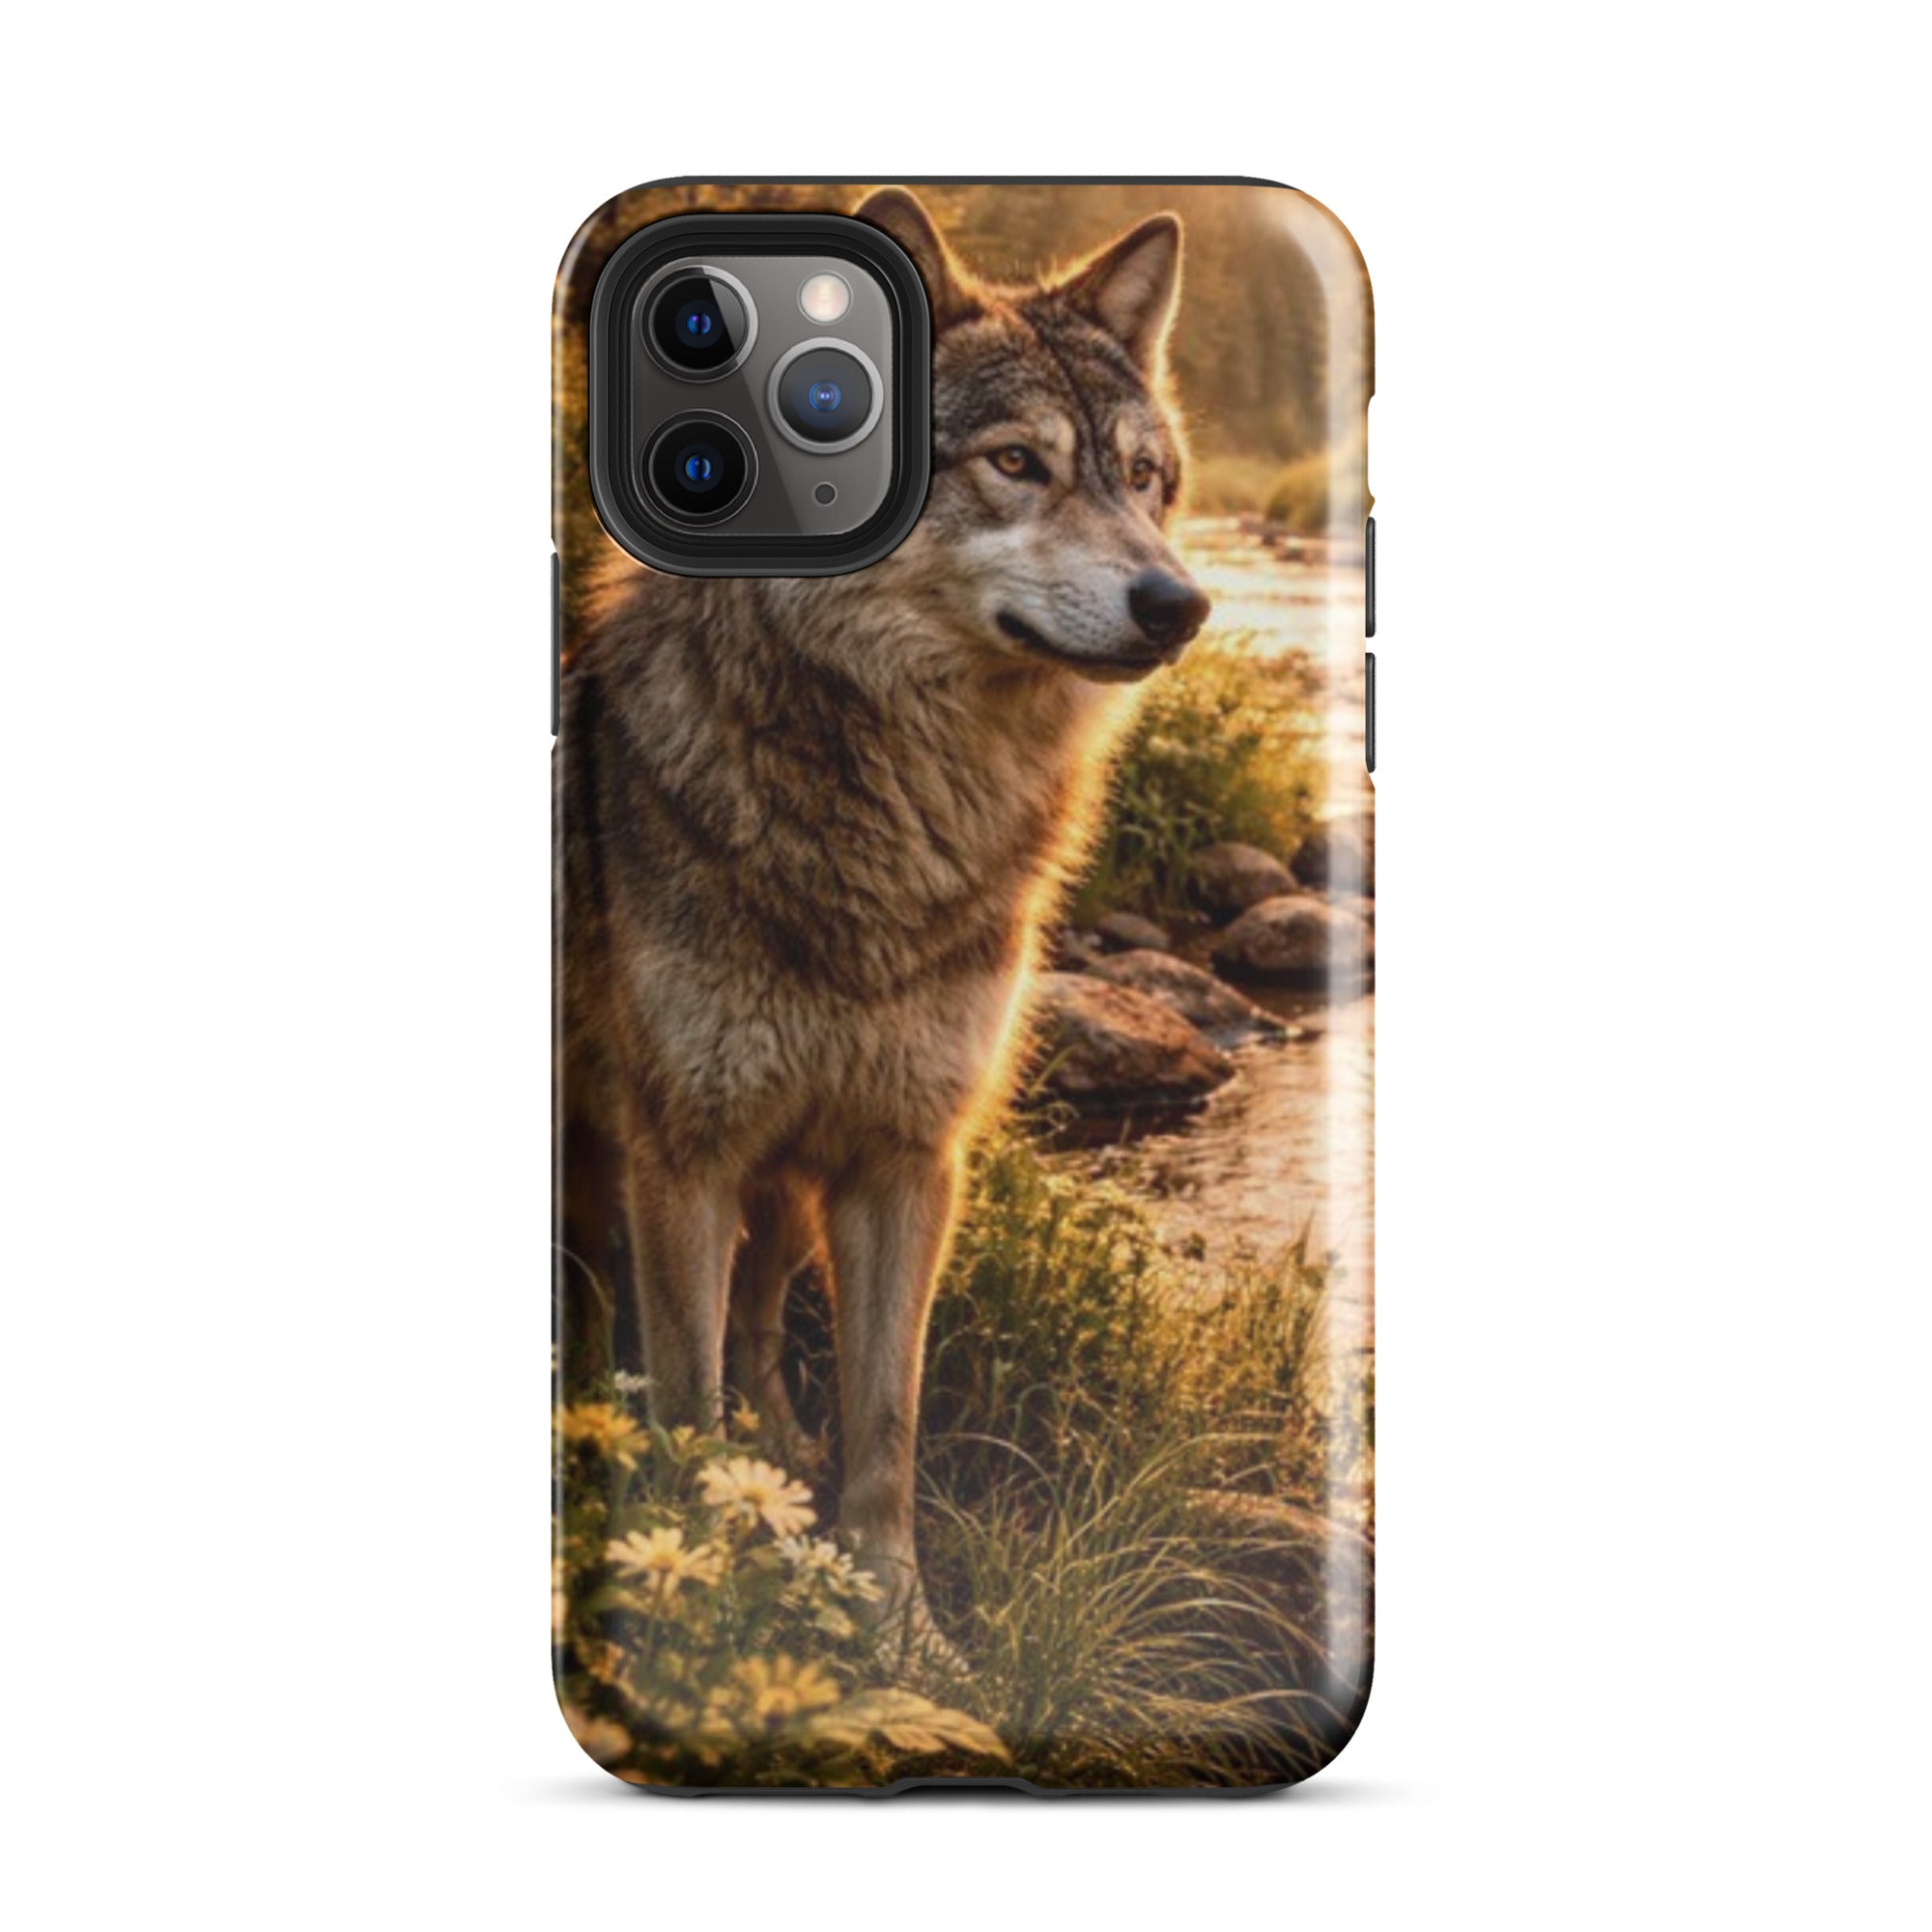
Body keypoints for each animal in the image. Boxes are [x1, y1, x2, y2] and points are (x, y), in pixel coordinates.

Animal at [557, 187, 1210, 1643]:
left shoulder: (909, 1158)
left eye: (1145, 479)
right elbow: (684, 1401)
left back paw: (780, 1453)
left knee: (762, 1333)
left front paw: (901, 1628)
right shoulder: (683, 1155)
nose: (1180, 602)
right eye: (1017, 463)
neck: (898, 817)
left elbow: (887, 1423)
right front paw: (697, 1604)